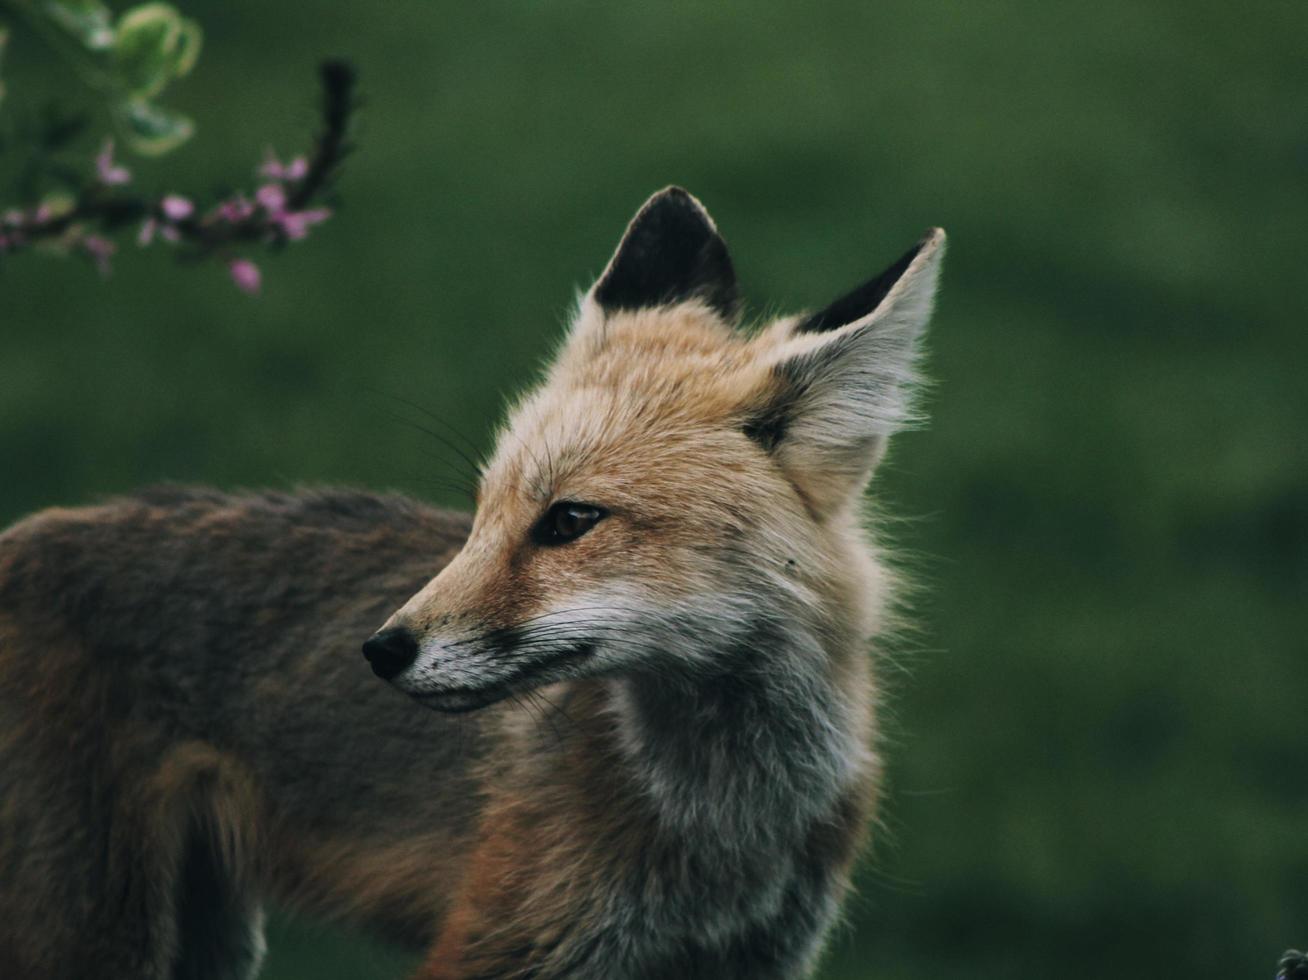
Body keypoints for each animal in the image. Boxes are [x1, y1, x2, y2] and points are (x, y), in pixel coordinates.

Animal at [0, 187, 946, 973]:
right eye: (482, 512)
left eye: (568, 521)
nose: (379, 651)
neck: (722, 828)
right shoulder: (497, 946)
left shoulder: (757, 959)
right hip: (99, 935)